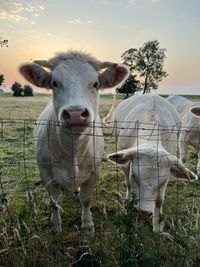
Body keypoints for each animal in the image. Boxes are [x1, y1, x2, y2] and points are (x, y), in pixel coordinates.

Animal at [19, 50, 130, 232]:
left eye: (96, 84)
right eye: (54, 83)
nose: (75, 113)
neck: (73, 150)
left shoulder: (93, 172)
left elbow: (86, 199)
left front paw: (87, 224)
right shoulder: (45, 172)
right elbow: (54, 202)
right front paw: (56, 224)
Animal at [108, 95, 197, 233]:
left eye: (162, 181)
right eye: (134, 176)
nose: (144, 213)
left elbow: (159, 201)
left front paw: (157, 225)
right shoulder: (126, 165)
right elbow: (128, 184)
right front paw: (129, 201)